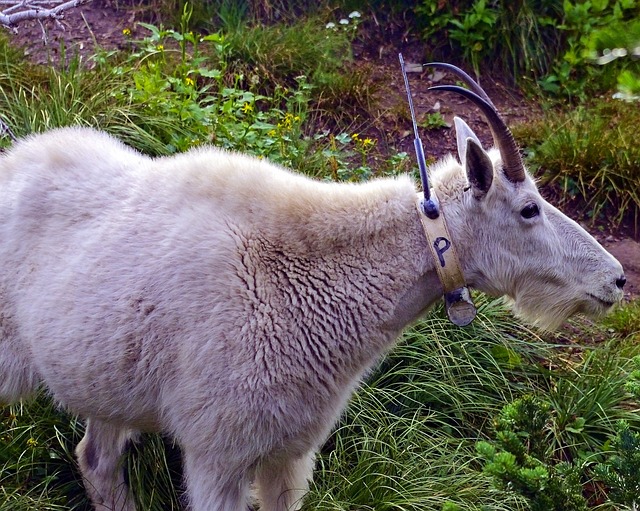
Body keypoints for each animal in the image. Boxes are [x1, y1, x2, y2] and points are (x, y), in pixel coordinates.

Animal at [0, 65, 624, 511]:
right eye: (528, 209)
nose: (616, 280)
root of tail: (12, 162)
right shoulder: (217, 451)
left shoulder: (289, 451)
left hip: (101, 380)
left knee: (96, 461)